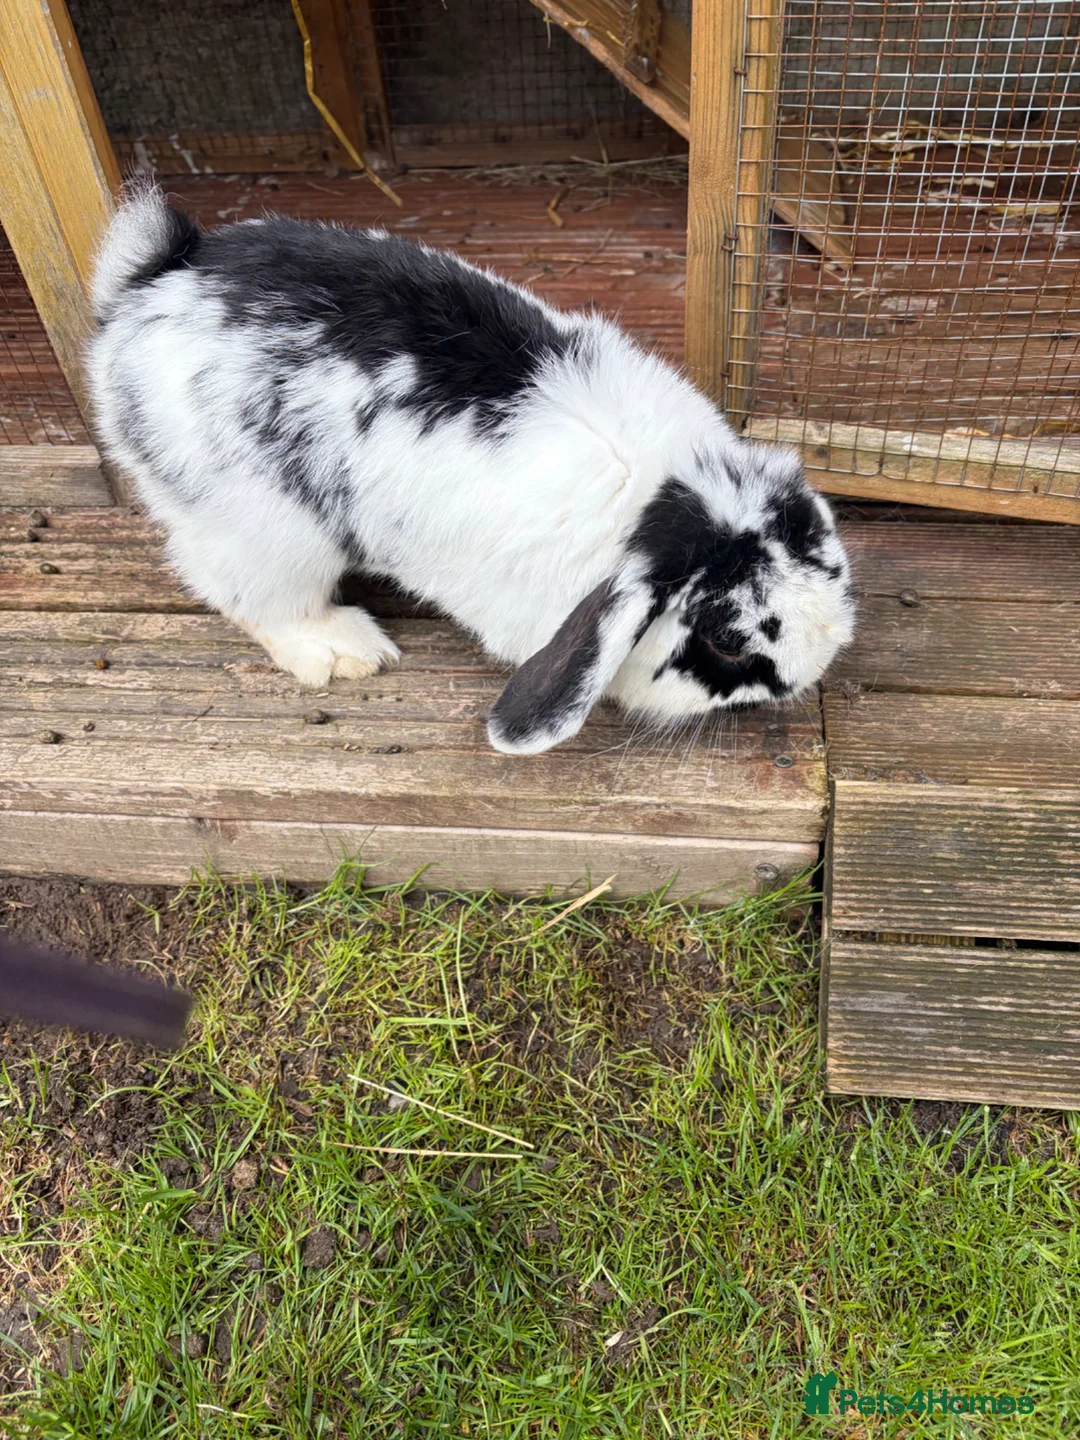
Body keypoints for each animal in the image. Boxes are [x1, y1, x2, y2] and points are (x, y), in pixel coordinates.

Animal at [88, 184, 855, 756]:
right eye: (728, 642)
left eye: (824, 549)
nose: (820, 662)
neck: (655, 498)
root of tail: (154, 279)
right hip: (264, 529)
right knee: (252, 594)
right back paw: (344, 650)